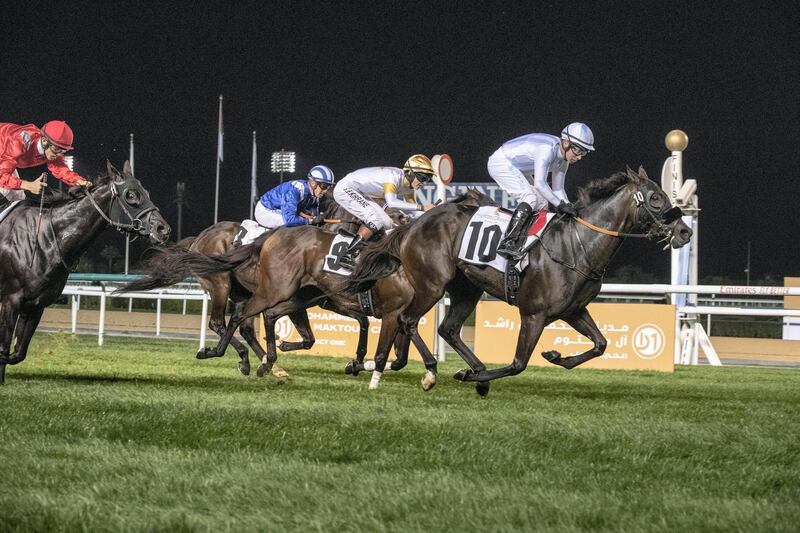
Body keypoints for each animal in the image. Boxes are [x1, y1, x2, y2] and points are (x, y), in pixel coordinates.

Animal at [0, 160, 169, 384]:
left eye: (146, 192)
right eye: (131, 195)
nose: (162, 229)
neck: (46, 237)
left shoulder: (36, 304)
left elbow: (18, 352)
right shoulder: (11, 300)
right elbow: (3, 348)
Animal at [346, 166, 692, 394]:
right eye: (655, 198)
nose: (685, 231)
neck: (577, 245)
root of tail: (416, 222)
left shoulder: (573, 310)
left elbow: (600, 344)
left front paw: (556, 356)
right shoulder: (534, 313)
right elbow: (518, 363)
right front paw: (471, 377)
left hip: (466, 288)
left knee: (447, 328)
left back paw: (473, 367)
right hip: (432, 283)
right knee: (408, 320)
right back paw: (432, 371)